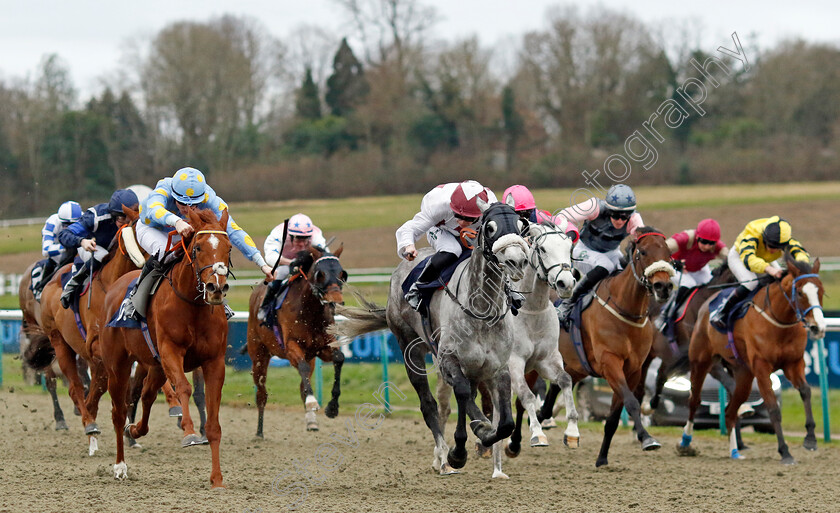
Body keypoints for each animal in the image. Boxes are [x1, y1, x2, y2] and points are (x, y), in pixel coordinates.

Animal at [101, 206, 233, 486]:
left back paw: (135, 429)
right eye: (198, 247)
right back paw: (120, 466)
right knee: (118, 411)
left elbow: (214, 423)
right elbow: (183, 387)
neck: (193, 306)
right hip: (117, 366)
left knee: (146, 395)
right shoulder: (171, 351)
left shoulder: (214, 362)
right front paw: (190, 432)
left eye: (228, 248)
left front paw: (217, 478)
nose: (216, 287)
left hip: (155, 365)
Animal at [246, 244, 348, 432]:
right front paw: (312, 401)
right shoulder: (291, 346)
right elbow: (302, 367)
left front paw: (332, 407)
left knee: (302, 384)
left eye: (342, 274)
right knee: (261, 393)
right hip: (258, 355)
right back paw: (259, 432)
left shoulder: (322, 348)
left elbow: (339, 358)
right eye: (320, 274)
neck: (309, 312)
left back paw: (311, 422)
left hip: (310, 358)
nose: (335, 302)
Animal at [332, 200, 528, 472]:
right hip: (409, 348)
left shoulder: (496, 366)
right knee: (429, 404)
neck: (481, 310)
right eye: (490, 227)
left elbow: (505, 422)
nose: (516, 261)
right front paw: (462, 447)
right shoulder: (448, 359)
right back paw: (443, 455)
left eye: (521, 225)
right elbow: (462, 395)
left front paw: (482, 436)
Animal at [540, 226, 676, 466]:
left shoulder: (632, 370)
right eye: (642, 253)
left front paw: (602, 458)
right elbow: (631, 402)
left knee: (550, 398)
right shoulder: (610, 363)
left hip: (574, 368)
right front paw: (647, 438)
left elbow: (614, 417)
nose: (663, 287)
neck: (625, 311)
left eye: (668, 253)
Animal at [680, 252, 824, 464]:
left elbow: (805, 391)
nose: (818, 327)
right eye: (799, 293)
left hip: (744, 376)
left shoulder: (794, 363)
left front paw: (811, 439)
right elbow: (773, 408)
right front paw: (785, 452)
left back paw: (734, 451)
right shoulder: (761, 367)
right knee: (694, 401)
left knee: (730, 411)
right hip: (700, 362)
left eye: (820, 291)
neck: (779, 321)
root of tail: (707, 305)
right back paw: (685, 443)